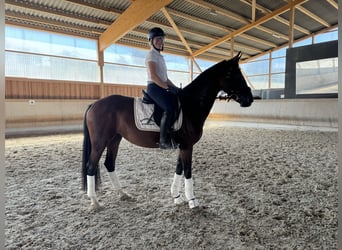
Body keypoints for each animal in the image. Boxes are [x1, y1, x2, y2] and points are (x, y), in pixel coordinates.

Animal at [81, 52, 252, 209]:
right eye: (231, 74)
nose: (249, 99)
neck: (191, 104)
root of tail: (95, 104)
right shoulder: (187, 146)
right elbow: (187, 170)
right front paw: (192, 200)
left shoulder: (183, 145)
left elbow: (179, 169)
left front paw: (177, 196)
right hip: (100, 142)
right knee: (91, 166)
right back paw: (95, 201)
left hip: (114, 139)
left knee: (109, 163)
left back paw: (123, 194)